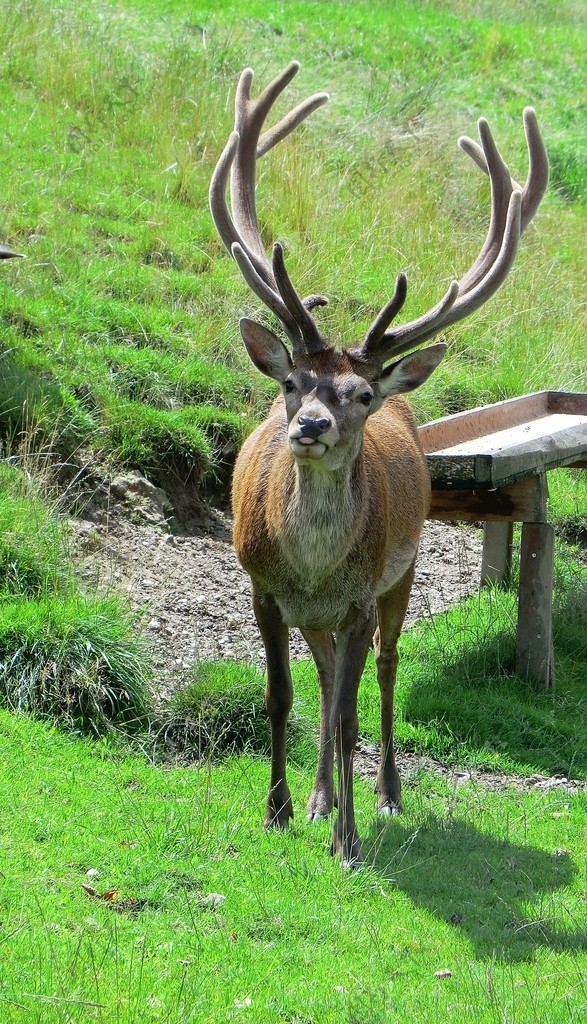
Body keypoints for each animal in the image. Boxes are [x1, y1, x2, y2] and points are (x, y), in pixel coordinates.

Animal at [207, 61, 549, 864]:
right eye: (292, 382)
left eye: (358, 393)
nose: (309, 426)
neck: (312, 567)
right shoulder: (264, 588)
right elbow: (285, 697)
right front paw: (279, 810)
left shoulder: (361, 595)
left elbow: (344, 712)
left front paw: (348, 841)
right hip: (323, 615)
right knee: (329, 675)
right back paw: (321, 794)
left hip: (404, 569)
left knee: (383, 676)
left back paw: (385, 793)